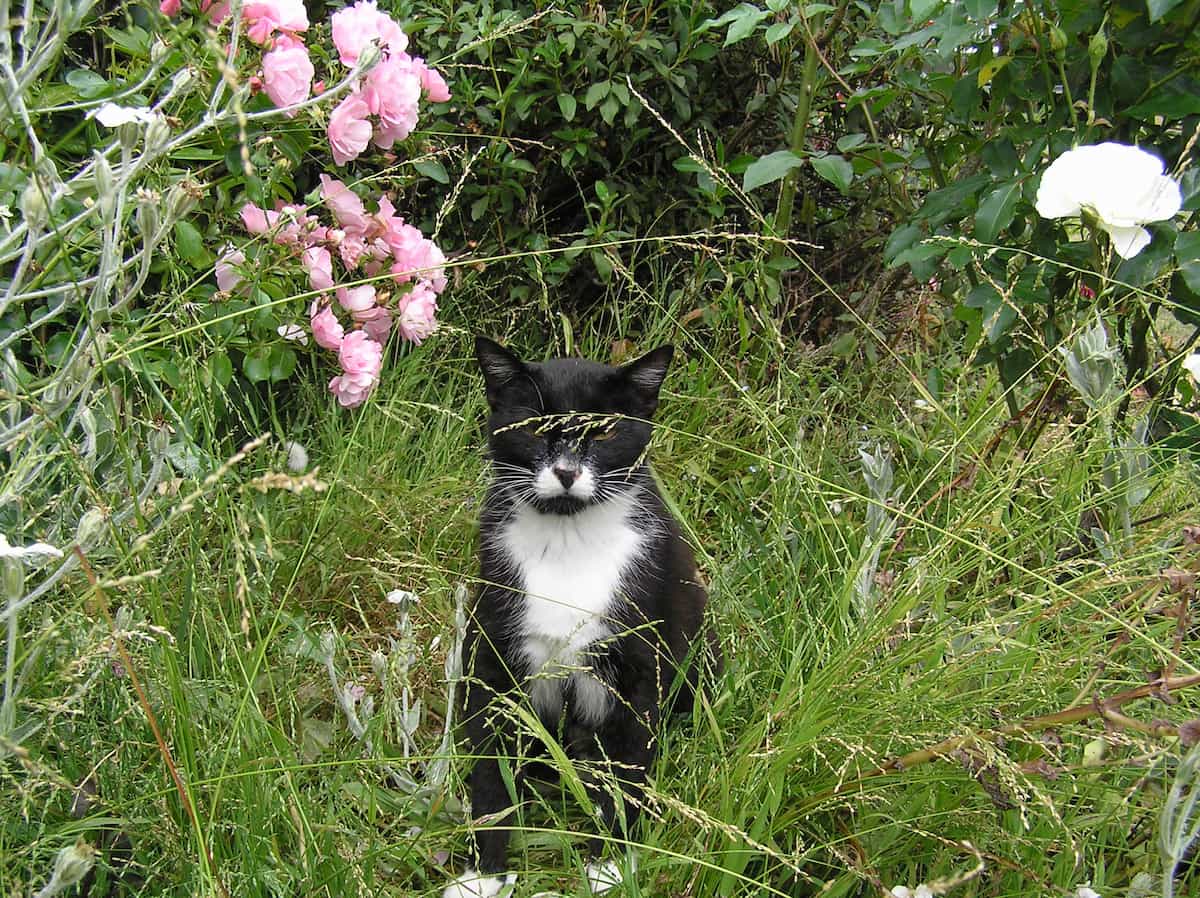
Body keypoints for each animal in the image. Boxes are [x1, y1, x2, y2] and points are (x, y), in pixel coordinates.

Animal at [442, 337, 719, 898]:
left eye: (606, 431)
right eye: (532, 426)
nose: (567, 472)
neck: (569, 539)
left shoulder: (640, 663)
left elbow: (628, 764)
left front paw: (609, 866)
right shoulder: (494, 654)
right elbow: (490, 770)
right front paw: (483, 875)